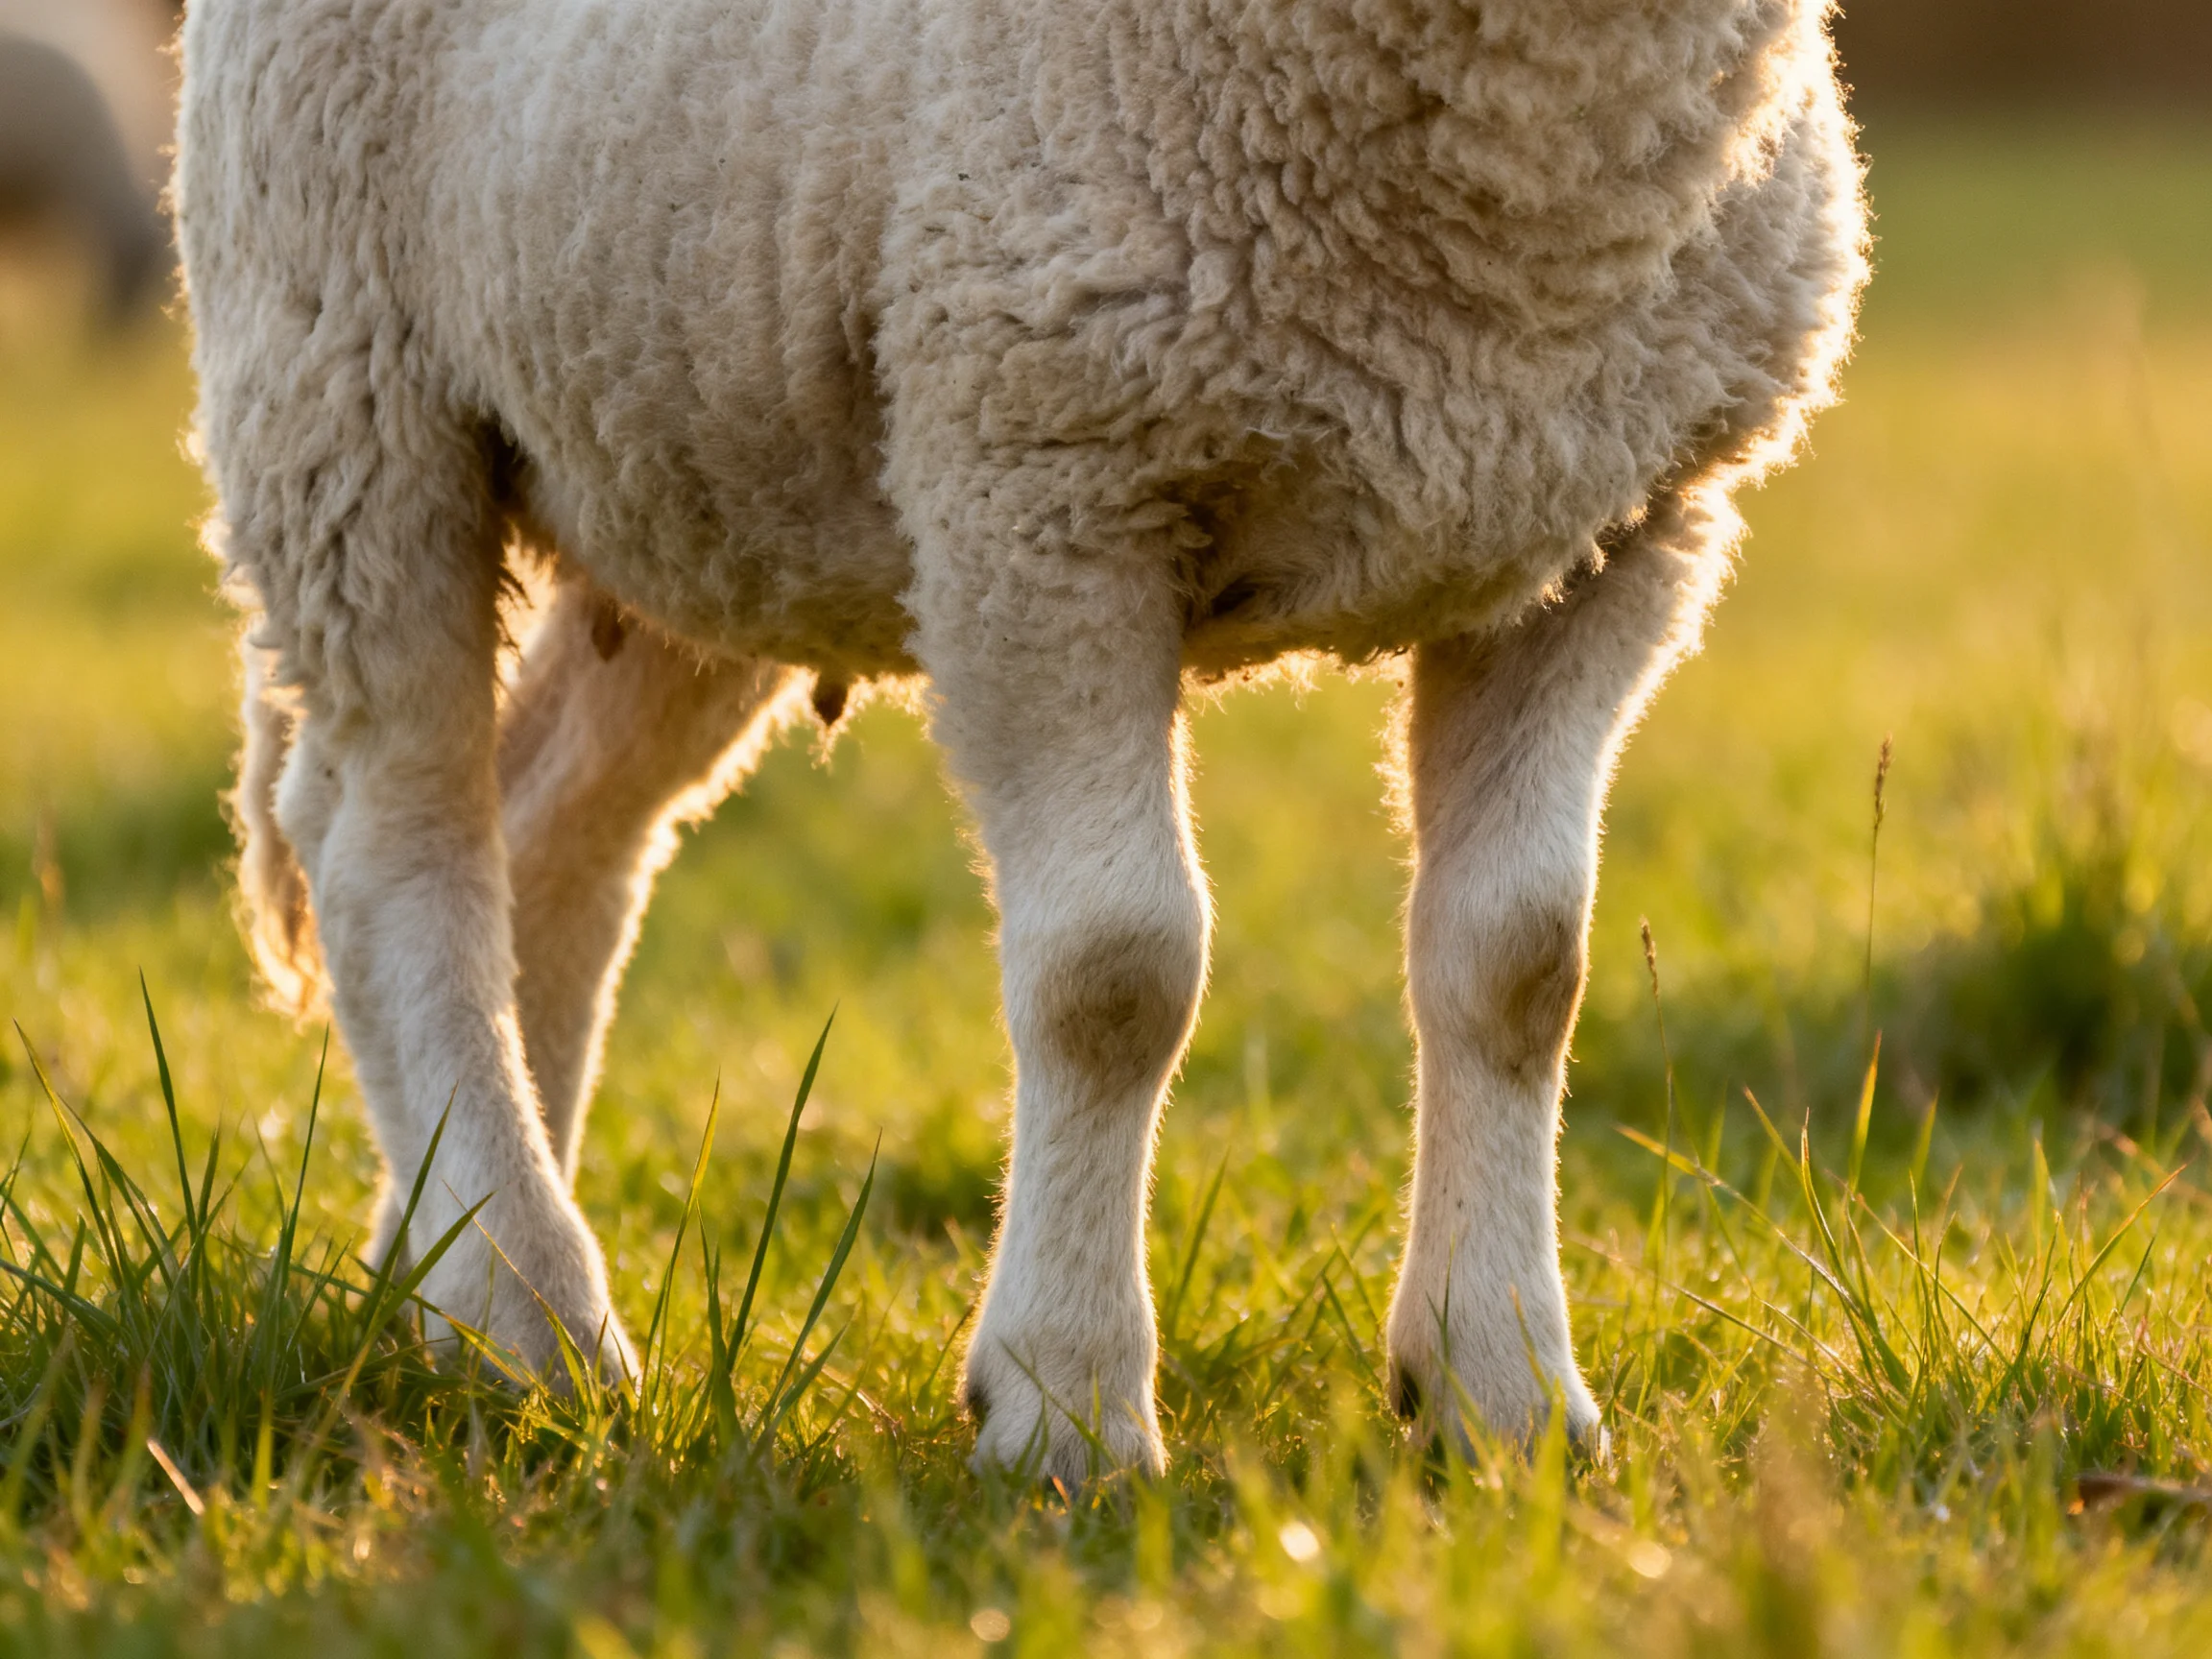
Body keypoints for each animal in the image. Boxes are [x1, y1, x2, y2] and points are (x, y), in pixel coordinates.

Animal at [175, 0, 1867, 1481]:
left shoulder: (1616, 536)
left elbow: (1522, 966)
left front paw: (1504, 1395)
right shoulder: (1037, 493)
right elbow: (1116, 973)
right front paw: (1066, 1411)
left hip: (675, 459)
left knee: (554, 840)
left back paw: (446, 1266)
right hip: (346, 390)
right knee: (392, 847)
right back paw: (531, 1312)